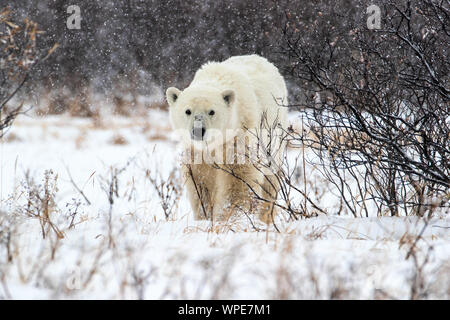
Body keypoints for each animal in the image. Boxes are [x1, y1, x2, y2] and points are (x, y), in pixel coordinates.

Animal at [166, 54, 288, 220]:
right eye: (188, 111)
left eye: (211, 111)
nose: (198, 130)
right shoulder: (195, 151)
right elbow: (201, 180)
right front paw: (205, 216)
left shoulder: (239, 136)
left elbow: (238, 179)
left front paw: (231, 217)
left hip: (274, 137)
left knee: (271, 180)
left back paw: (265, 216)